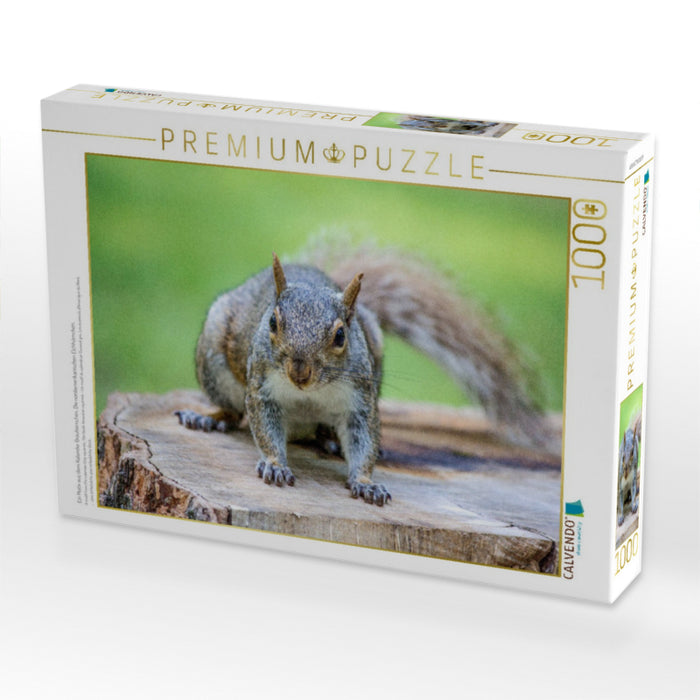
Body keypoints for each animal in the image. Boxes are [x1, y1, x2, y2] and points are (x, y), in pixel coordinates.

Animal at [175, 242, 553, 506]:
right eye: (271, 322)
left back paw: (329, 439)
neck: (309, 393)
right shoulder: (261, 387)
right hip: (214, 359)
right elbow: (264, 428)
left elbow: (363, 441)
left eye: (341, 336)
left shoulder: (360, 400)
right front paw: (275, 464)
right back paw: (208, 418)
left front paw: (366, 482)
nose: (300, 371)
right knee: (233, 411)